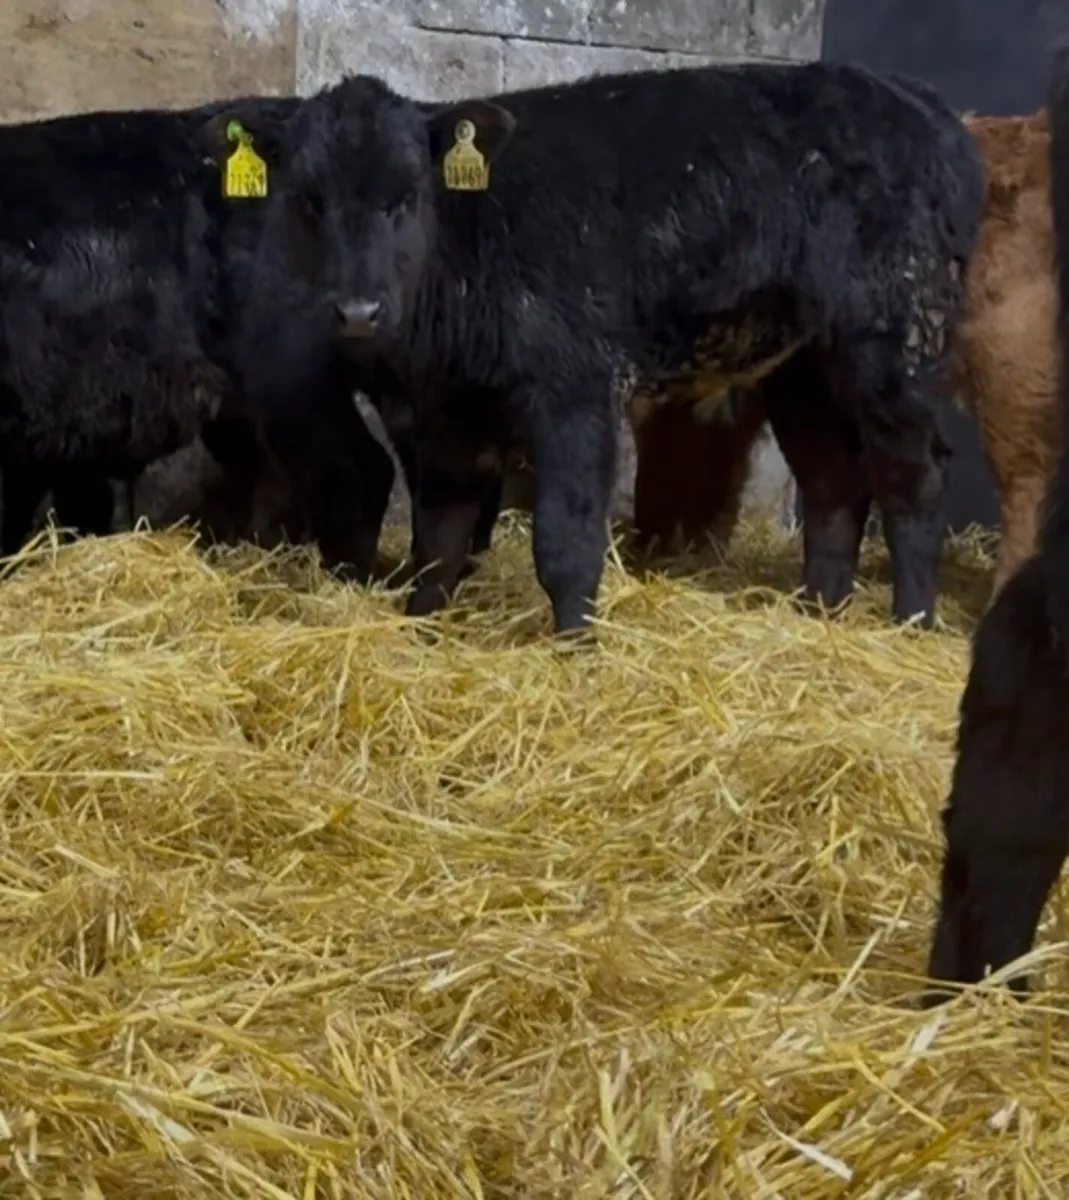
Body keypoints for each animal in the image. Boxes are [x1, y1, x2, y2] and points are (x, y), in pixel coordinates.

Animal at [317, 61, 983, 638]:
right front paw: (419, 628)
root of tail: (920, 103)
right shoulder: (444, 418)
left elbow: (564, 540)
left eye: (404, 197)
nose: (357, 310)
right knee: (832, 479)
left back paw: (910, 622)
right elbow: (439, 539)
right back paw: (816, 613)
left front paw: (575, 647)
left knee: (915, 476)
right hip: (802, 364)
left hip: (895, 335)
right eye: (309, 199)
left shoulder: (577, 391)